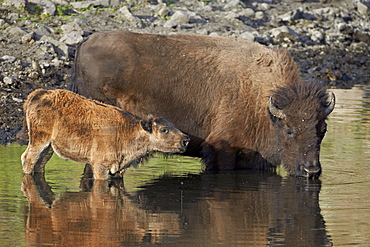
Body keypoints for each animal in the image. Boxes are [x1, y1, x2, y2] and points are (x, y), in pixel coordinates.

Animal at [20, 89, 189, 179]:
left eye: (174, 126)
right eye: (164, 130)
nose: (185, 140)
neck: (126, 131)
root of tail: (39, 93)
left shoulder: (119, 170)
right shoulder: (100, 166)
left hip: (49, 146)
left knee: (40, 163)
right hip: (39, 140)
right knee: (28, 158)